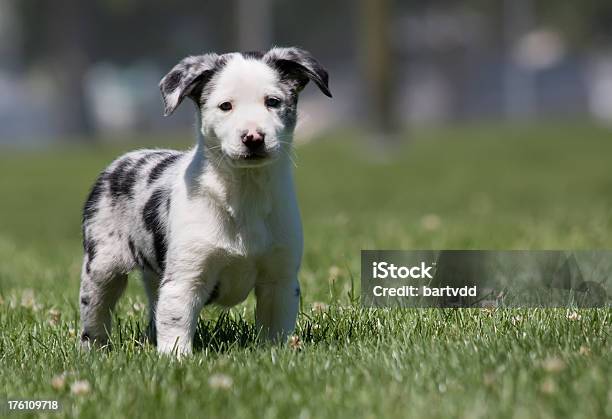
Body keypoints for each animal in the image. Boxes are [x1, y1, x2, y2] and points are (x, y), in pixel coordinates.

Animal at [79, 46, 332, 354]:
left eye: (272, 102)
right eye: (225, 106)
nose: (253, 137)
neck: (245, 194)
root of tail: (122, 160)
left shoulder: (280, 280)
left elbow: (275, 331)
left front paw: (276, 355)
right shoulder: (185, 279)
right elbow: (176, 327)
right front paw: (176, 359)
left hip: (153, 276)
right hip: (101, 268)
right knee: (96, 315)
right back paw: (93, 351)